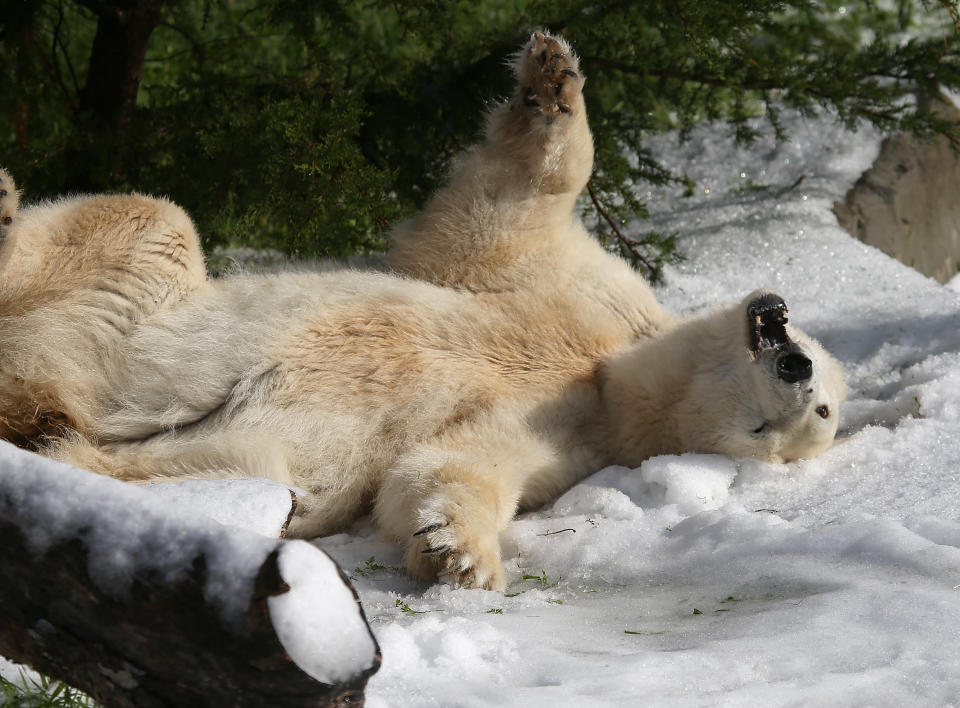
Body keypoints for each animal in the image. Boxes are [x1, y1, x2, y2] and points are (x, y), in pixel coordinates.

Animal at [0, 33, 848, 588]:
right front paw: (553, 75)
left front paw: (460, 553)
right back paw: (6, 210)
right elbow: (501, 211)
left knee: (240, 469)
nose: (794, 361)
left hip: (169, 414)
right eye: (822, 405)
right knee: (152, 221)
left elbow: (448, 467)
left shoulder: (571, 438)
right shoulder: (573, 291)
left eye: (796, 422)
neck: (609, 373)